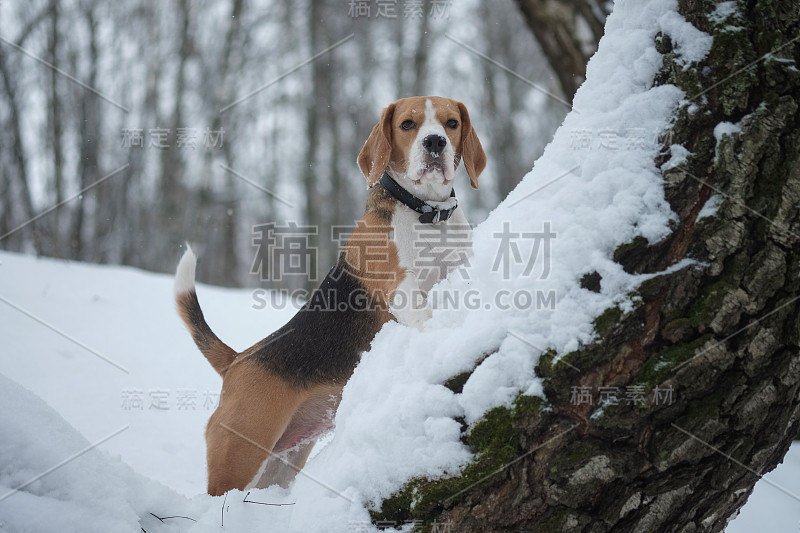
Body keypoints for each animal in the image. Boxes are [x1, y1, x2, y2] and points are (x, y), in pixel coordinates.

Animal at [176, 95, 488, 494]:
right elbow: (425, 315)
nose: (435, 142)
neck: (426, 213)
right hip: (239, 456)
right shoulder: (402, 291)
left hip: (280, 463)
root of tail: (237, 360)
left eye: (451, 123)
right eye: (407, 124)